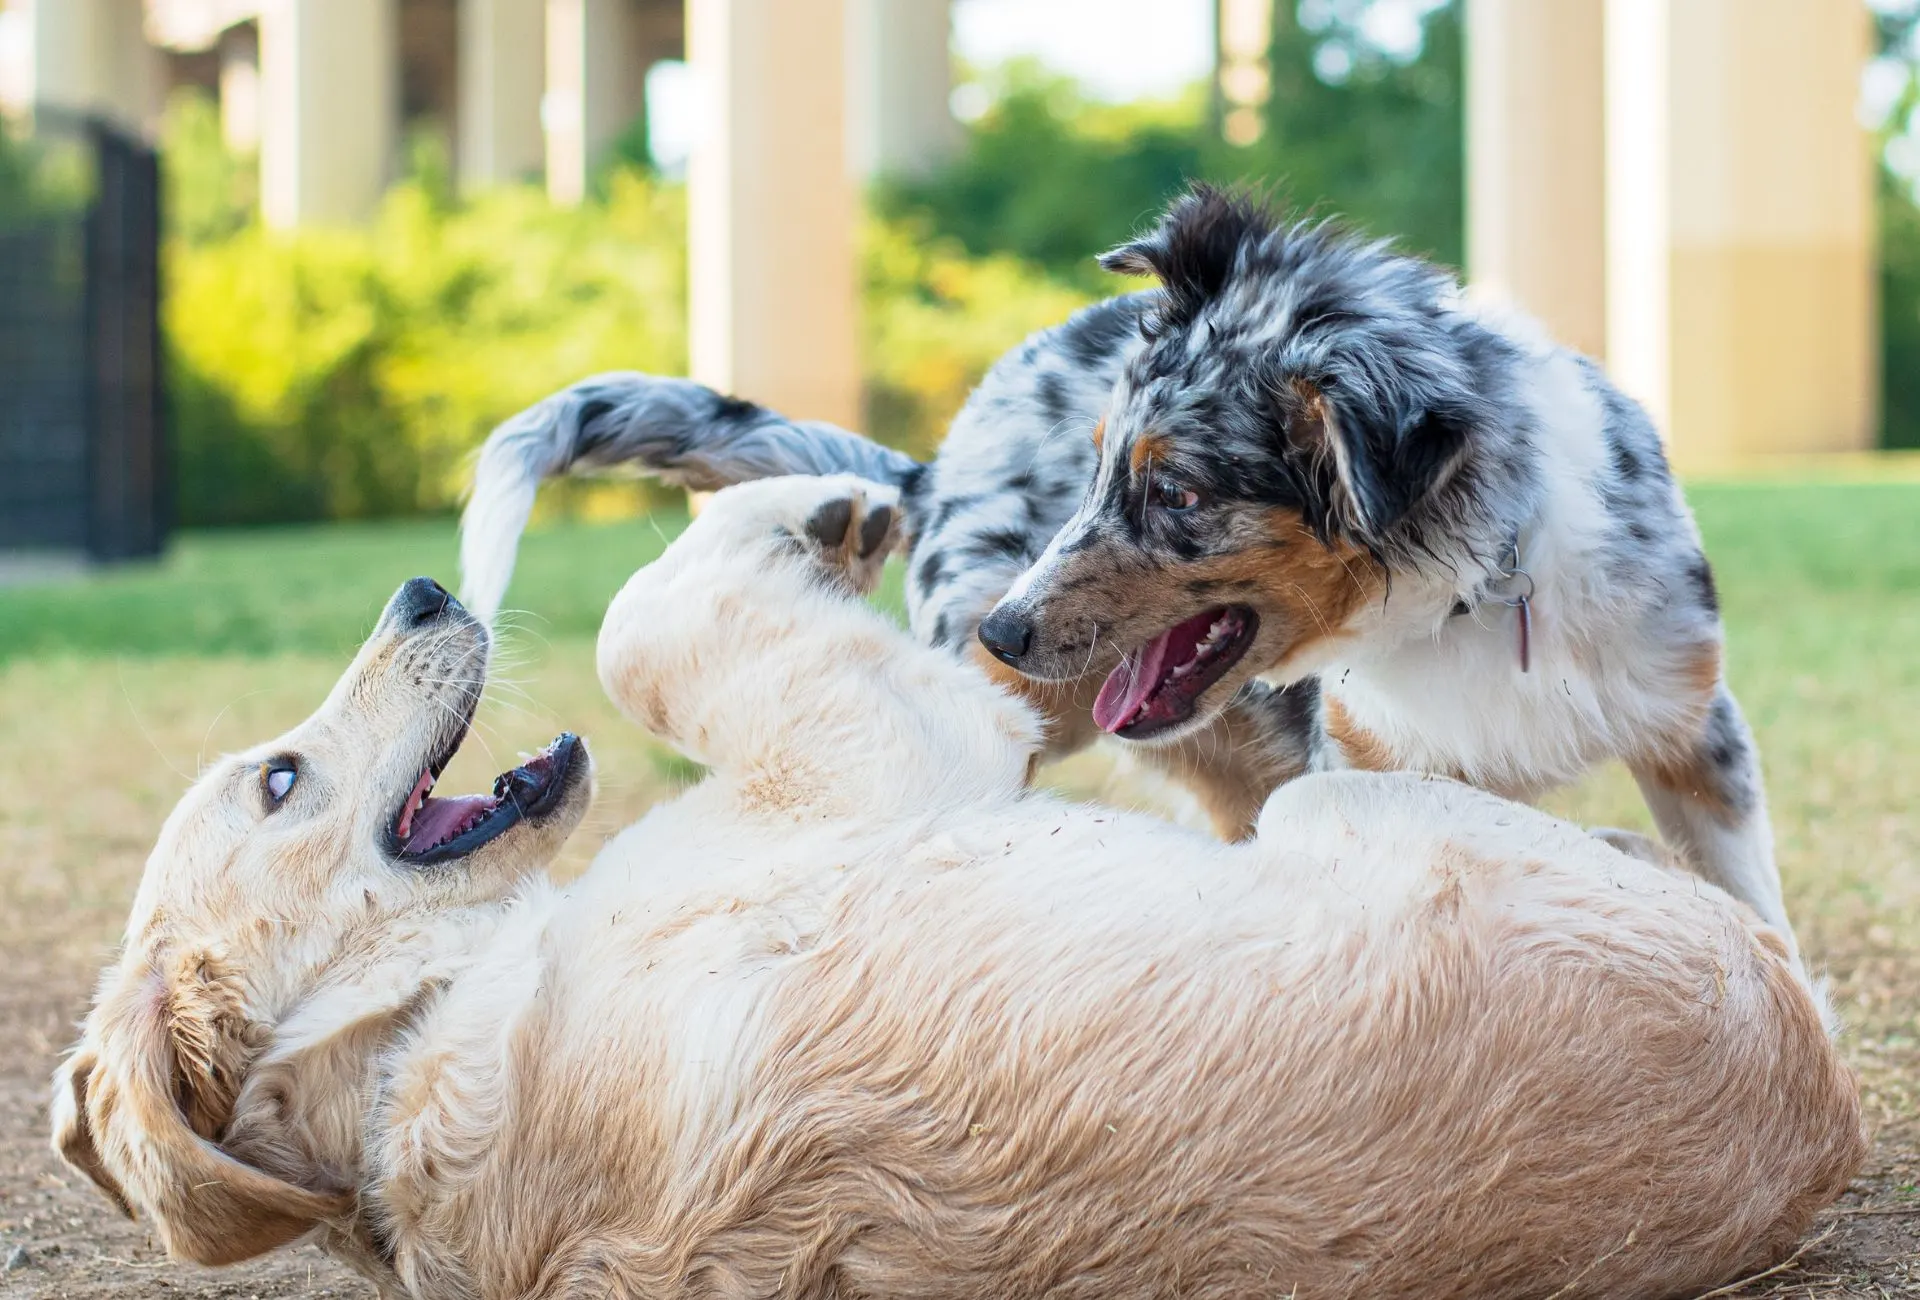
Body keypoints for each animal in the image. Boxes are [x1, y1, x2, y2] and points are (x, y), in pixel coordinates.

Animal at [56, 476, 1858, 1298]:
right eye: (280, 779)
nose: (428, 582)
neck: (406, 1043)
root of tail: (1825, 1108)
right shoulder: (898, 745)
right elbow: (652, 629)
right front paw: (809, 510)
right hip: (1359, 804)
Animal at [460, 187, 1797, 967]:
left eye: (1179, 496)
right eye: (1098, 469)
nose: (1002, 632)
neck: (1477, 598)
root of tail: (938, 466)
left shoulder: (1695, 727)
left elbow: (1751, 892)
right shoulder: (1369, 760)